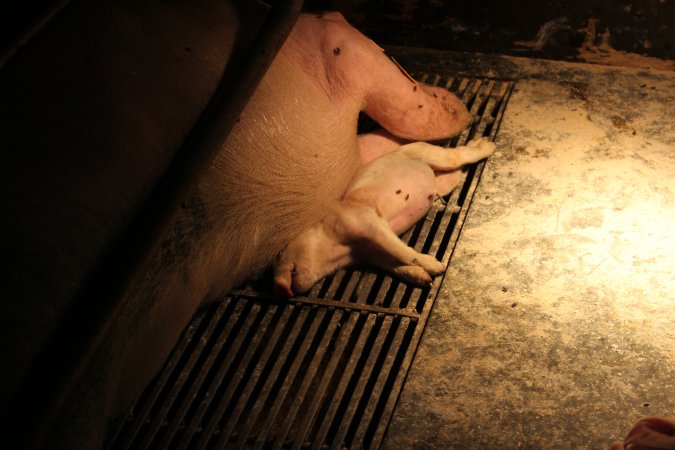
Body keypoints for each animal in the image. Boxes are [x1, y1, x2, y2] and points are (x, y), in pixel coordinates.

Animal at [273, 138, 496, 297]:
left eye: (280, 254)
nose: (279, 287)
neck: (344, 250)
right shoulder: (371, 254)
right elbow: (395, 264)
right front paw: (426, 280)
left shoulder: (368, 222)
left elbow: (401, 251)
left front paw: (438, 267)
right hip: (442, 180)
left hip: (429, 153)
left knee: (458, 155)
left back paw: (488, 144)